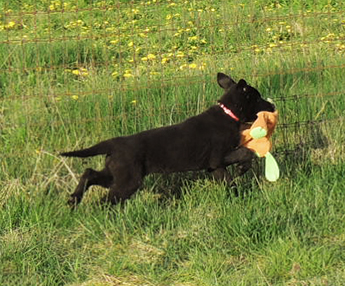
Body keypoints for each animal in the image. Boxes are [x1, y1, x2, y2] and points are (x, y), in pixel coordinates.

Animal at [60, 72, 272, 206]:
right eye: (258, 98)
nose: (273, 106)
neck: (228, 114)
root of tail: (113, 143)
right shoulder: (218, 158)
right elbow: (245, 152)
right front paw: (242, 170)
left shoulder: (214, 167)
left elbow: (229, 180)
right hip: (128, 180)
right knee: (105, 200)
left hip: (116, 173)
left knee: (89, 173)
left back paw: (74, 199)